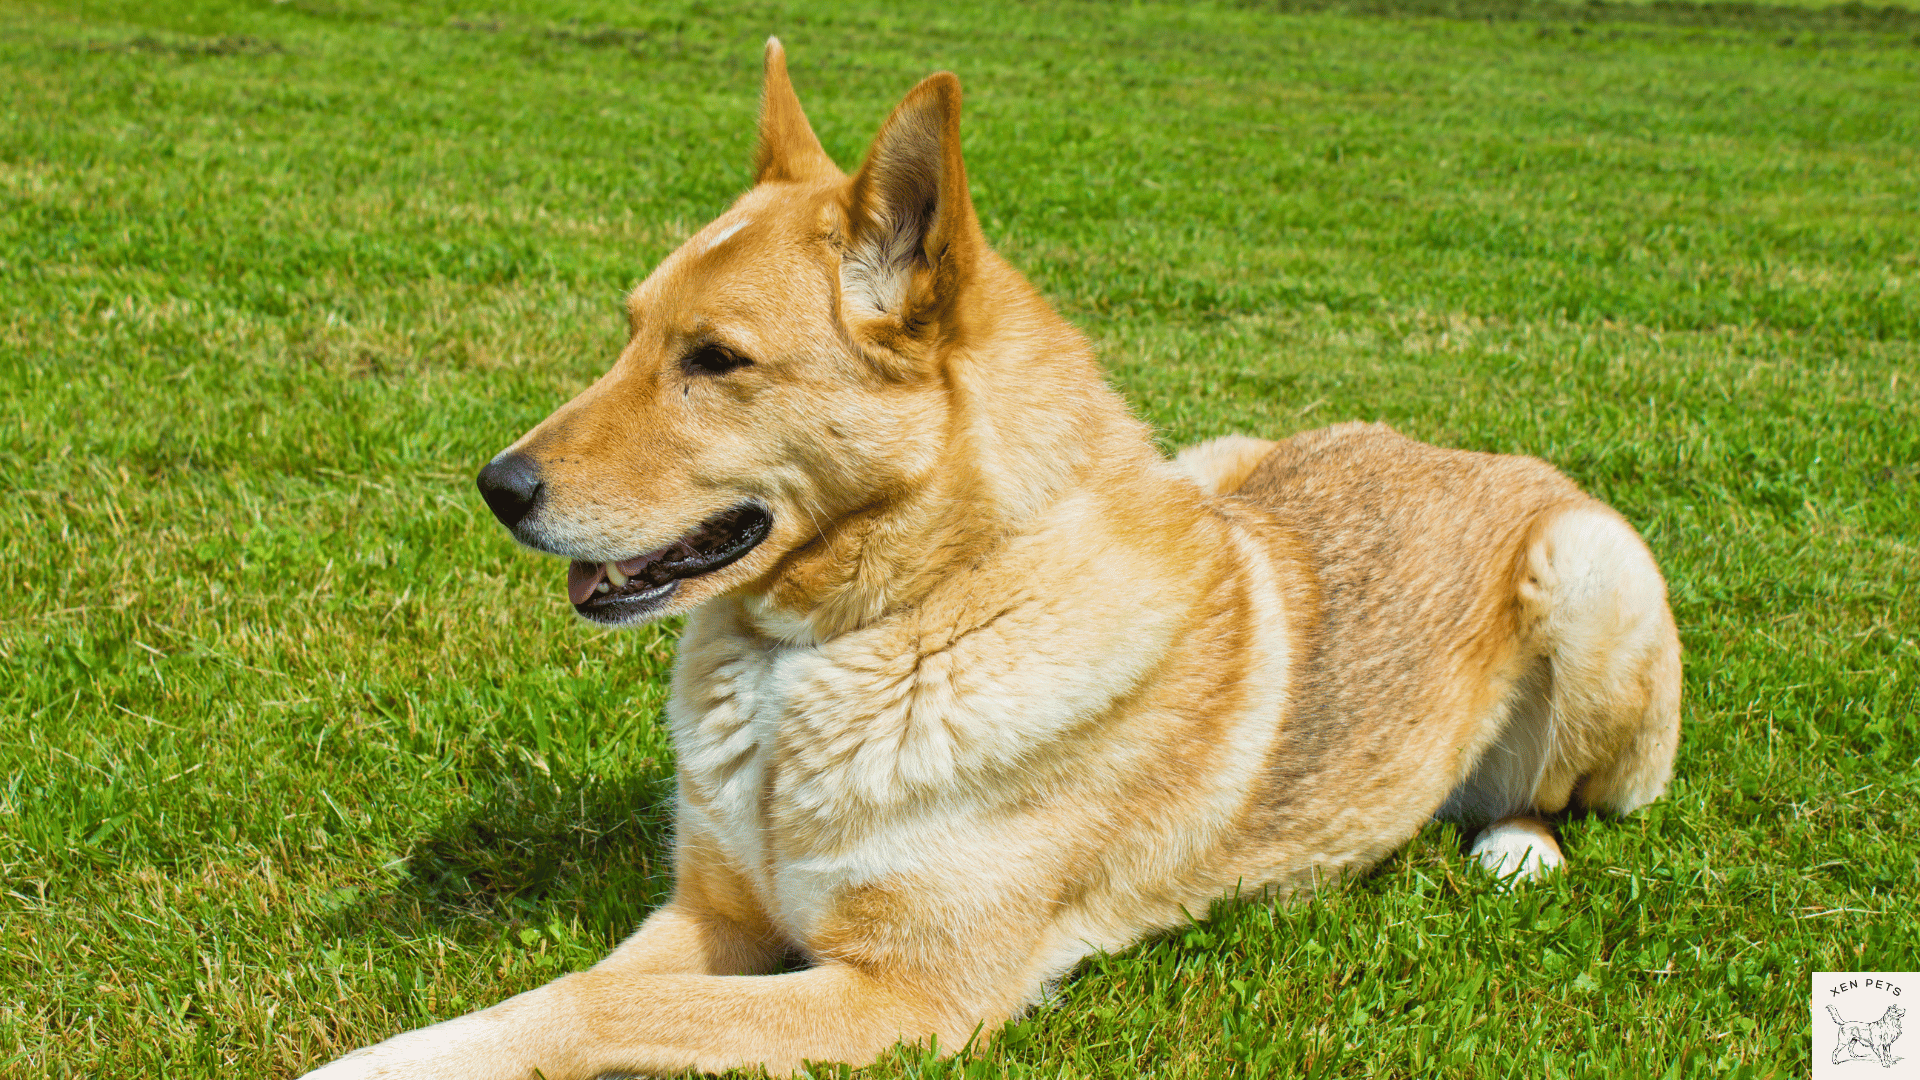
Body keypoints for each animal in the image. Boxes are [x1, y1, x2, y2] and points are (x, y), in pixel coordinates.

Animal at [299, 39, 1681, 1076]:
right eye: (632, 331)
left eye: (716, 361)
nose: (496, 487)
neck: (888, 627)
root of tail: (1469, 451)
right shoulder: (710, 915)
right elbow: (557, 997)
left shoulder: (907, 997)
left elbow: (603, 1009)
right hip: (1225, 460)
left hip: (1589, 577)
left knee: (1558, 795)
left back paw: (1515, 844)